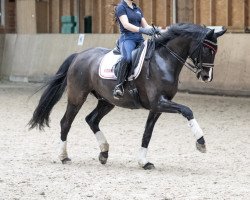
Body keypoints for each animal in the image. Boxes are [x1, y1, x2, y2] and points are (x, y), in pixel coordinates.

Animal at [28, 23, 227, 170]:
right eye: (208, 50)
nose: (207, 76)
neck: (163, 60)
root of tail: (79, 55)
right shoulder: (159, 102)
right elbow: (187, 110)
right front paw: (201, 143)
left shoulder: (157, 107)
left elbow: (147, 133)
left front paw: (144, 162)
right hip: (77, 96)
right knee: (66, 122)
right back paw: (64, 156)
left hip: (107, 101)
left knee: (91, 119)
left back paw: (104, 153)